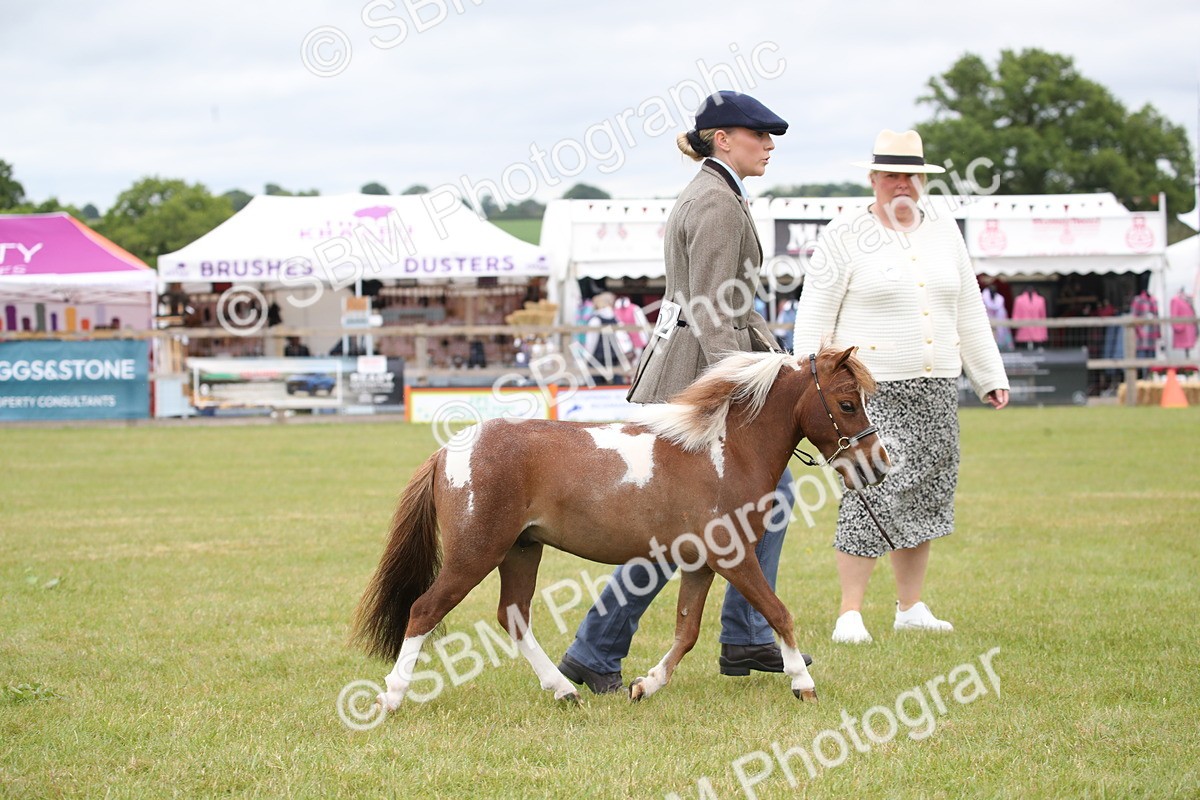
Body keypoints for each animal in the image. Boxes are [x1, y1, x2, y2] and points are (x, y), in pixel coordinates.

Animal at [351, 346, 889, 711]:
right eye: (847, 403)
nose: (879, 465)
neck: (725, 452)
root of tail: (449, 450)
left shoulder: (701, 563)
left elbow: (687, 631)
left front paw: (644, 684)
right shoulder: (734, 557)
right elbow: (778, 613)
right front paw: (803, 684)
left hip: (521, 550)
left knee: (514, 617)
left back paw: (564, 690)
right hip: (475, 554)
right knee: (424, 611)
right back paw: (391, 698)